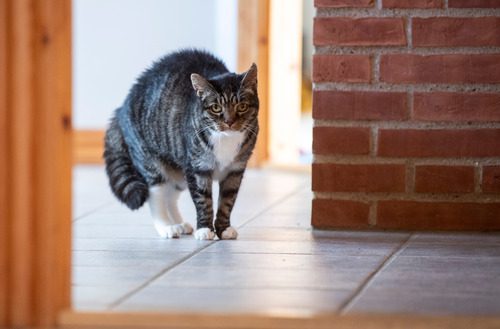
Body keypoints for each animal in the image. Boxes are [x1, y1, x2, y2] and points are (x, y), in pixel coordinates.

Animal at [101, 48, 258, 238]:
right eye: (216, 108)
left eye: (242, 106)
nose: (229, 122)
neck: (225, 138)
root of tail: (121, 108)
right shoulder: (197, 168)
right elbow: (203, 200)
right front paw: (205, 229)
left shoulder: (235, 170)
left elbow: (228, 201)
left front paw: (224, 228)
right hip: (151, 162)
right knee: (157, 195)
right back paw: (166, 227)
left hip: (178, 170)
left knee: (171, 196)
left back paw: (180, 224)